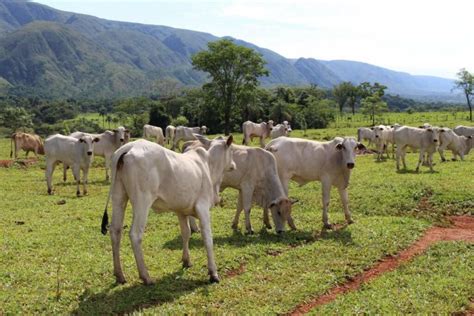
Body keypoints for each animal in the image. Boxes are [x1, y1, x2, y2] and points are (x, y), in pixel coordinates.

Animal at [101, 135, 234, 284]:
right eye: (232, 150)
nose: (233, 165)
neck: (209, 166)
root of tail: (129, 147)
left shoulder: (181, 211)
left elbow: (186, 233)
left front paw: (186, 260)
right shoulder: (203, 207)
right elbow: (207, 238)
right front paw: (213, 273)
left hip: (119, 196)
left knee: (115, 231)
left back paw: (119, 275)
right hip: (142, 201)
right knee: (135, 234)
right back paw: (146, 277)